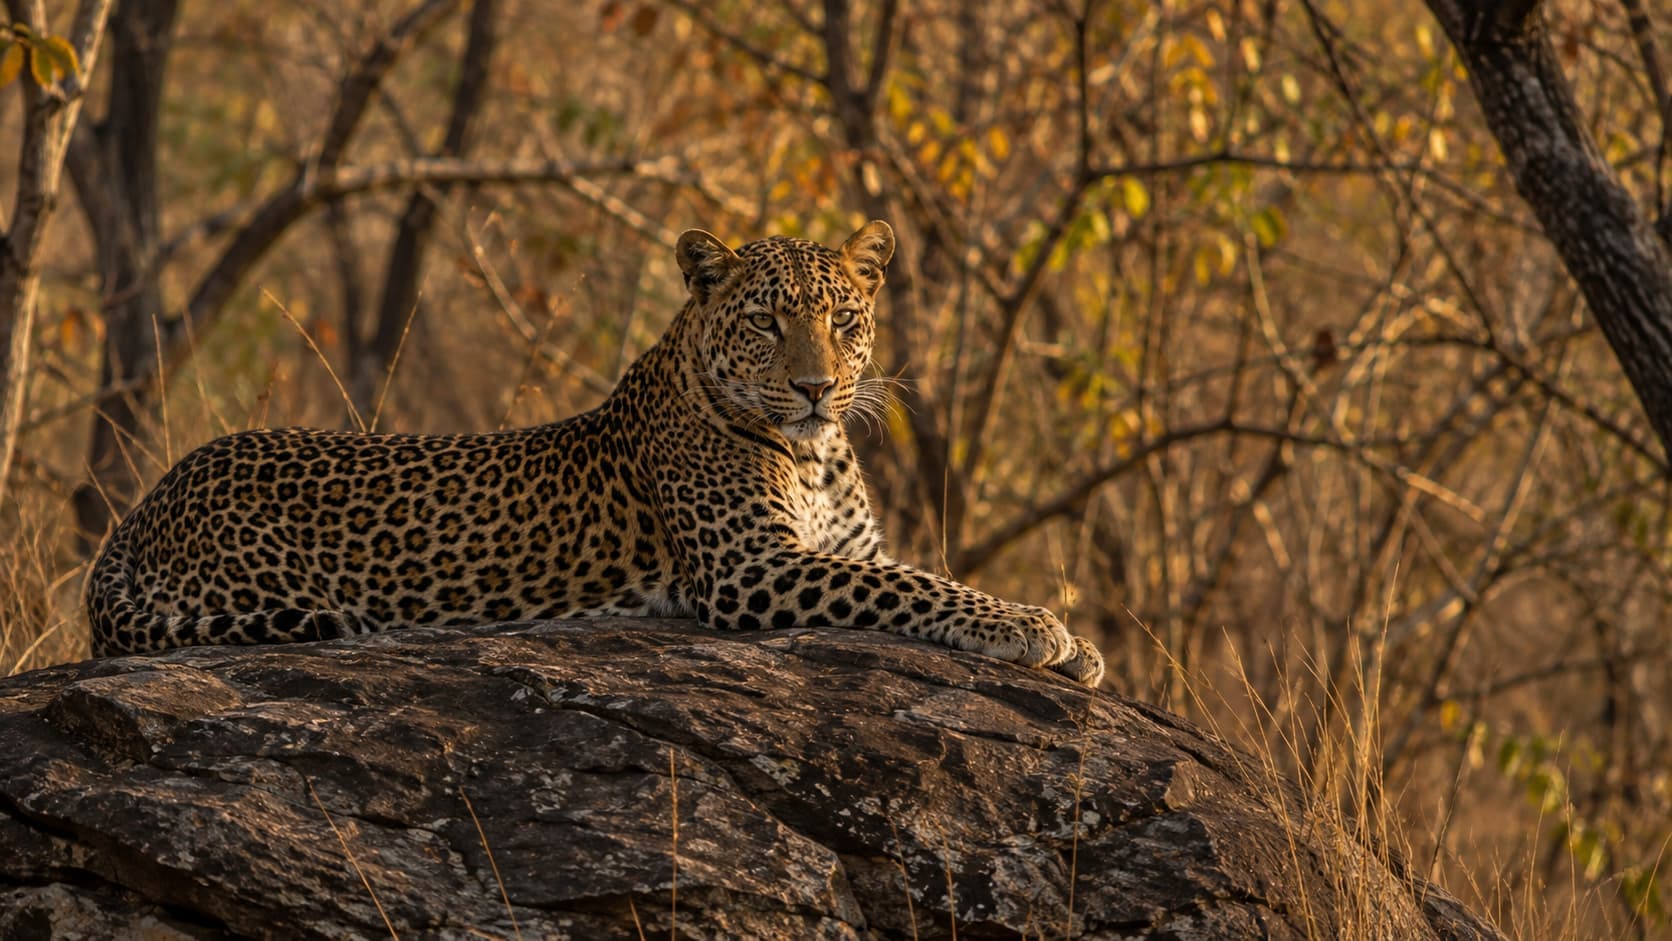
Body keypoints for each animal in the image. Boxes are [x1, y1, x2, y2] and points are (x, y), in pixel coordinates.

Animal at [86, 221, 1105, 686]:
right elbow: (917, 588)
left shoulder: (838, 550)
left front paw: (1081, 645)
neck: (813, 456)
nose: (817, 388)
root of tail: (143, 508)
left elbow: (915, 572)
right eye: (767, 323)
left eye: (842, 320)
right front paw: (1034, 626)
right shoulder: (752, 567)